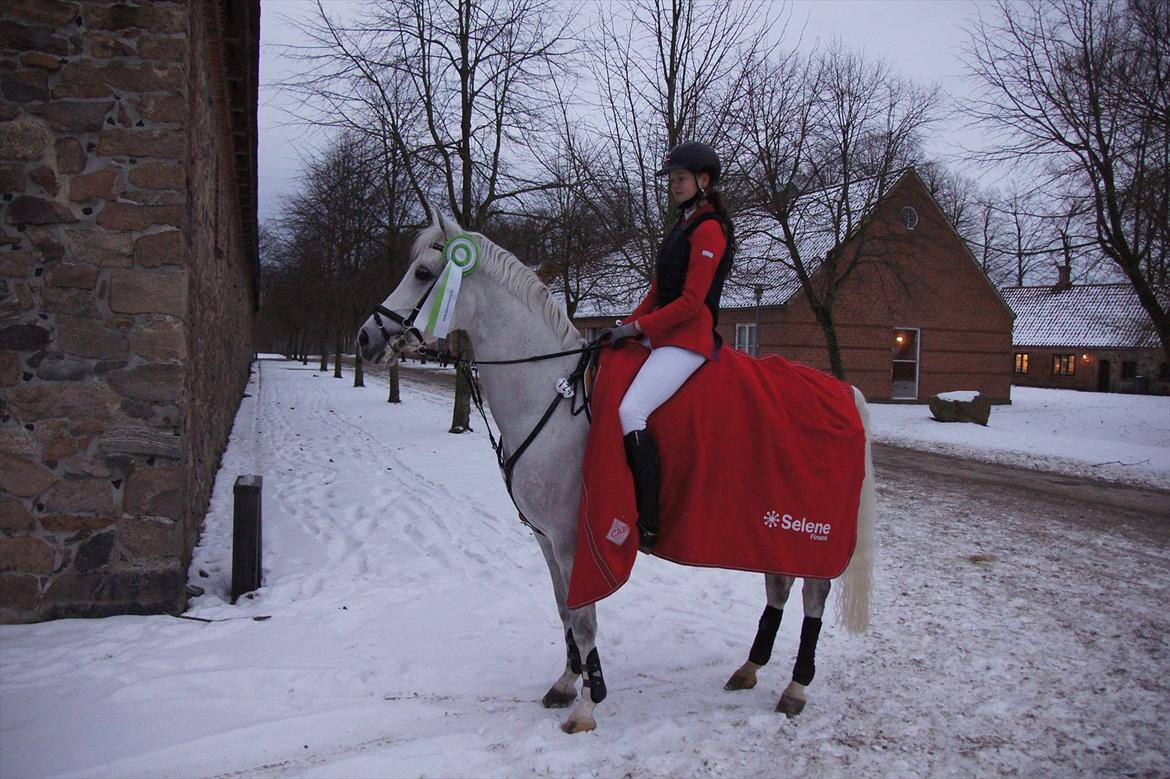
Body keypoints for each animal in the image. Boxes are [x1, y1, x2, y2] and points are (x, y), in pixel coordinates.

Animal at [358, 209, 879, 729]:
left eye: (423, 273)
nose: (366, 337)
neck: (552, 392)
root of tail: (844, 391)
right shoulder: (546, 539)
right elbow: (565, 610)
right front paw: (567, 683)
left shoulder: (574, 540)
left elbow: (585, 617)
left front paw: (589, 704)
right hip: (773, 529)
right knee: (780, 585)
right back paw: (750, 668)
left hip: (808, 532)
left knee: (813, 595)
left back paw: (796, 687)